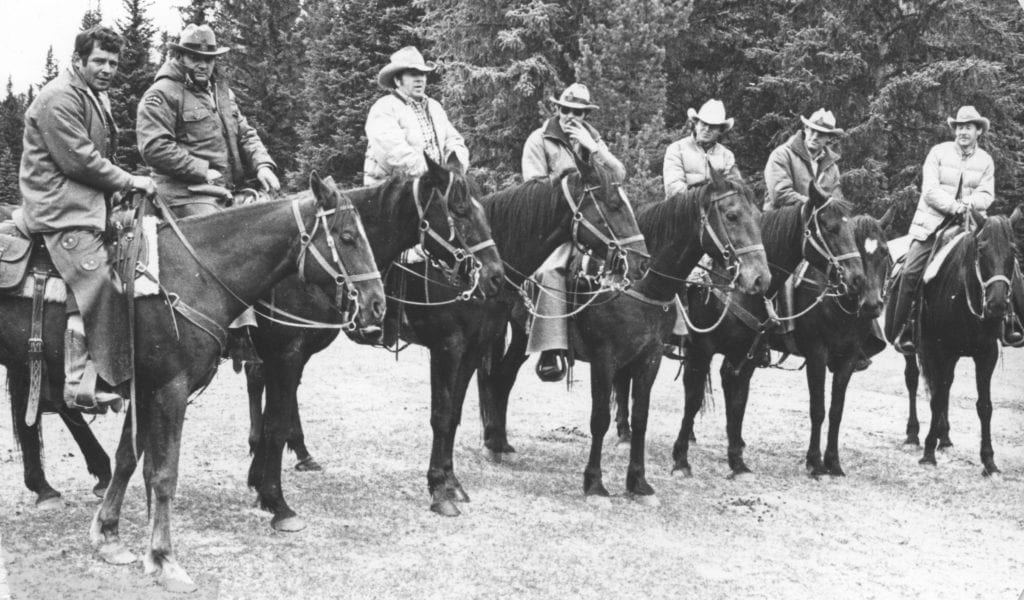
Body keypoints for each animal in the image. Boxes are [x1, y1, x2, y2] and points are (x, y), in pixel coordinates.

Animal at [9, 172, 385, 589]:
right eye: (347, 237)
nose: (377, 304)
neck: (196, 274)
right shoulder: (174, 389)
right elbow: (165, 474)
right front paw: (164, 558)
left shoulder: (146, 390)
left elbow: (128, 460)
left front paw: (108, 535)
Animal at [246, 155, 503, 528]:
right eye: (460, 208)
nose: (495, 275)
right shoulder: (447, 348)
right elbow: (441, 415)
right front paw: (439, 490)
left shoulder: (469, 352)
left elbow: (452, 414)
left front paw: (450, 483)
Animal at [475, 170, 770, 501]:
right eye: (731, 215)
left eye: (758, 217)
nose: (760, 278)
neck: (640, 286)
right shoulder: (606, 359)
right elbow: (600, 418)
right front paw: (595, 484)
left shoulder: (650, 358)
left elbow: (641, 417)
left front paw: (638, 483)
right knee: (498, 378)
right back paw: (493, 444)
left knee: (502, 379)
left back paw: (500, 443)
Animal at [884, 208, 1019, 470]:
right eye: (981, 249)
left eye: (1014, 251)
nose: (997, 304)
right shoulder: (938, 350)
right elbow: (936, 398)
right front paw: (928, 452)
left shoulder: (986, 355)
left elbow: (984, 405)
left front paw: (989, 461)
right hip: (914, 350)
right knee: (914, 381)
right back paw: (913, 434)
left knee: (945, 387)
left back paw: (944, 438)